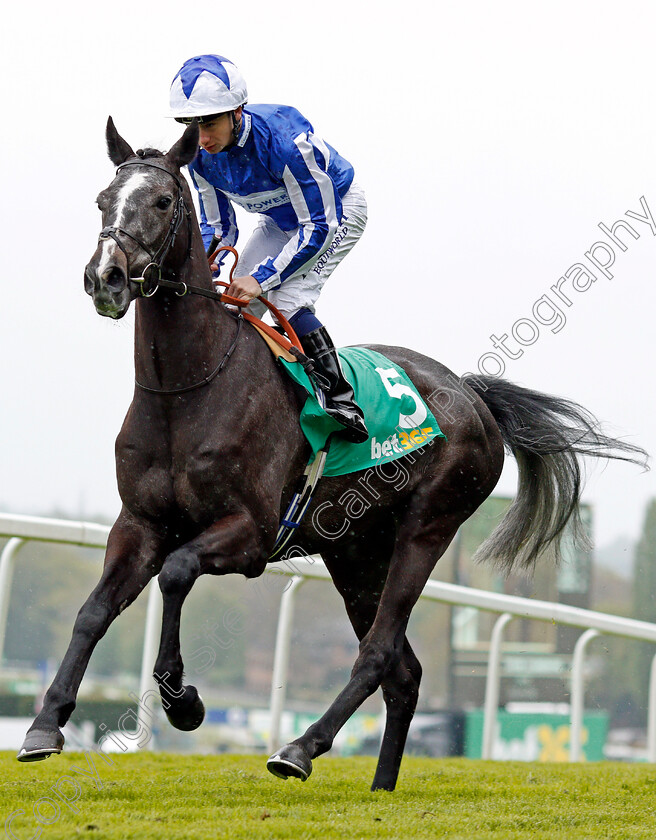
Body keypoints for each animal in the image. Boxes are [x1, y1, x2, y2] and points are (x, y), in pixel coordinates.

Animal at [18, 120, 648, 796]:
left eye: (162, 201)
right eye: (102, 200)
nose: (105, 278)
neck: (188, 391)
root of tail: (472, 394)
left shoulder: (249, 534)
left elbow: (178, 573)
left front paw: (183, 701)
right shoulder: (139, 523)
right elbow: (93, 611)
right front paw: (45, 725)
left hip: (425, 530)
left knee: (378, 653)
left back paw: (299, 748)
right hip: (354, 552)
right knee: (405, 672)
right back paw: (380, 787)